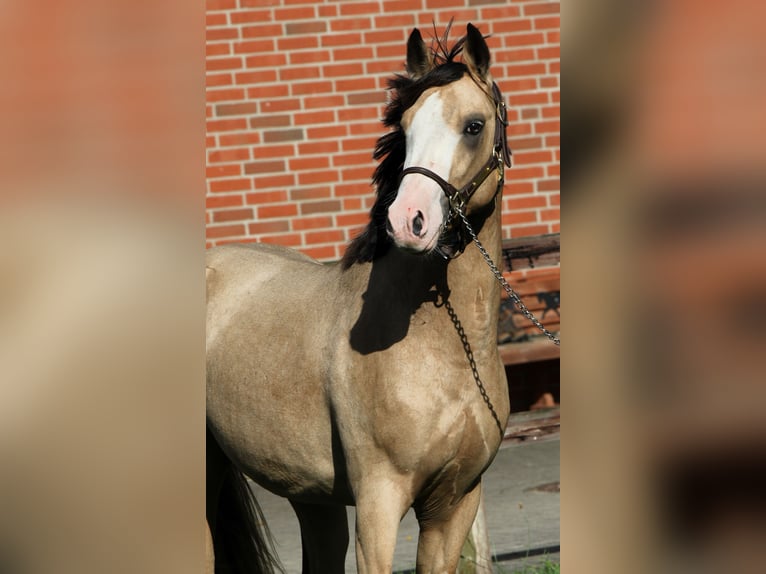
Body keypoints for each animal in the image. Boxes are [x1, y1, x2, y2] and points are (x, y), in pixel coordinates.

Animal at [207, 22, 512, 574]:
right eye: (405, 127)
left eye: (473, 126)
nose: (409, 220)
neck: (446, 353)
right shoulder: (378, 502)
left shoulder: (455, 503)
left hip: (310, 496)